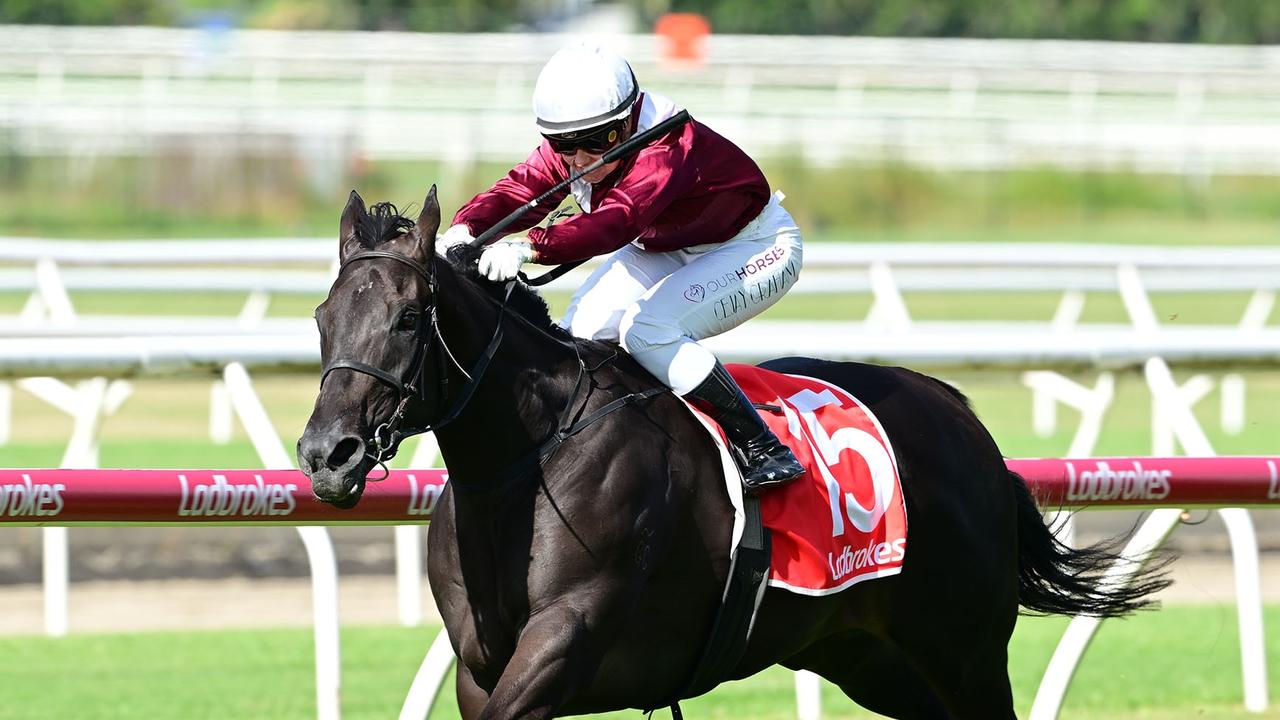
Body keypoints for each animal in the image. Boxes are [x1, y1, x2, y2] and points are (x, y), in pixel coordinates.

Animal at [299, 189, 1172, 717]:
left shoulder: (566, 639)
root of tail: (962, 418)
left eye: (409, 319)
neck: (527, 461)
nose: (326, 454)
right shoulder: (480, 667)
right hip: (871, 656)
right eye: (321, 317)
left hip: (963, 650)